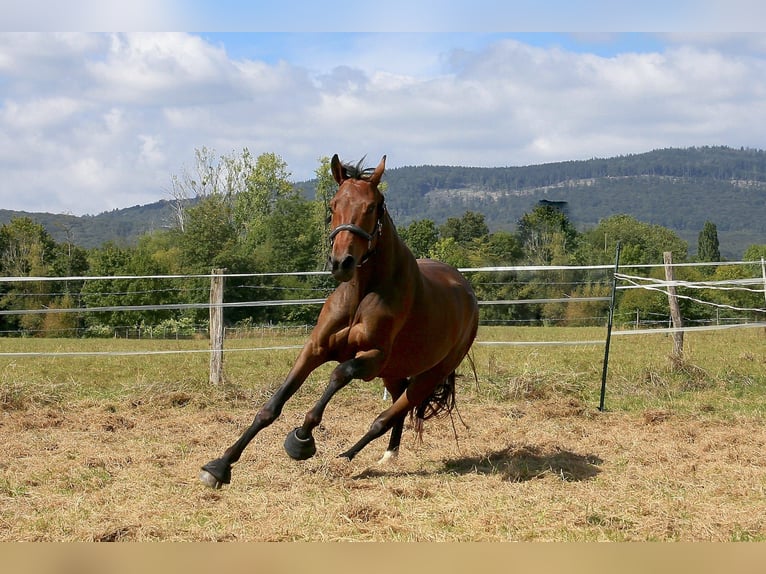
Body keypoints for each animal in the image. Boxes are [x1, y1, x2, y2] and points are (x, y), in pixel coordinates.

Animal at [200, 154, 474, 490]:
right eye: (333, 205)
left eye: (372, 206)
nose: (342, 262)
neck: (362, 293)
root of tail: (466, 290)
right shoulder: (316, 348)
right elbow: (271, 407)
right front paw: (219, 466)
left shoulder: (371, 358)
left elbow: (338, 374)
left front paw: (302, 439)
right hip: (394, 372)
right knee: (395, 408)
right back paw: (387, 455)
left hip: (429, 375)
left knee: (386, 416)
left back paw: (345, 458)